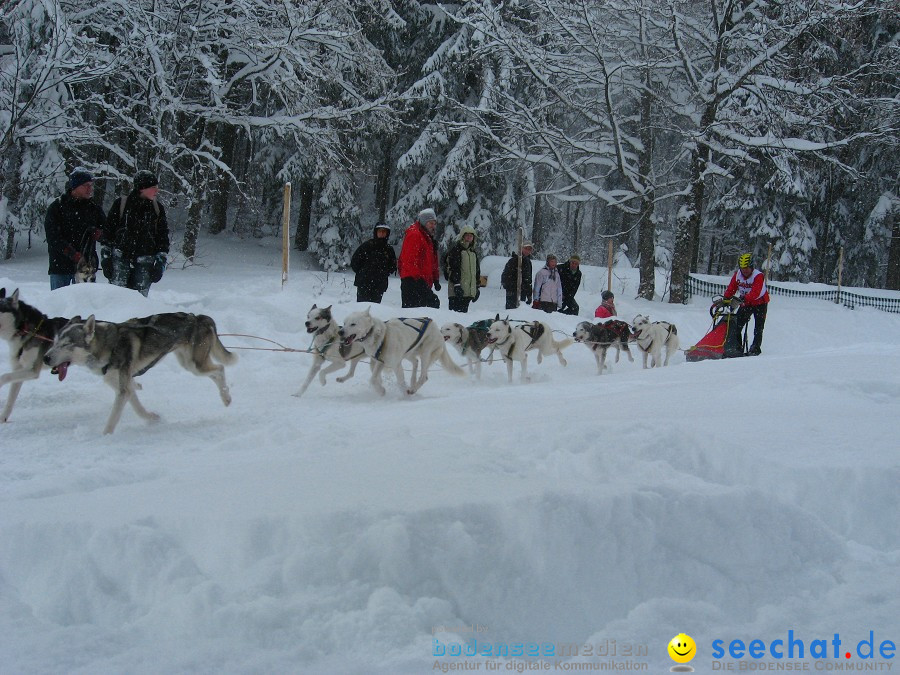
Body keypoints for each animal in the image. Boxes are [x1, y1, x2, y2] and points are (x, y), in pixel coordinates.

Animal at [44, 310, 237, 434]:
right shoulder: (124, 385)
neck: (109, 345)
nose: (45, 358)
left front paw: (104, 436)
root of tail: (198, 317)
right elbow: (137, 406)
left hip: (195, 364)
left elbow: (113, 418)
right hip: (188, 364)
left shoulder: (123, 389)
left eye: (66, 344)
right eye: (55, 341)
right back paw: (225, 398)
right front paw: (152, 418)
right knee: (216, 373)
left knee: (220, 369)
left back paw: (226, 397)